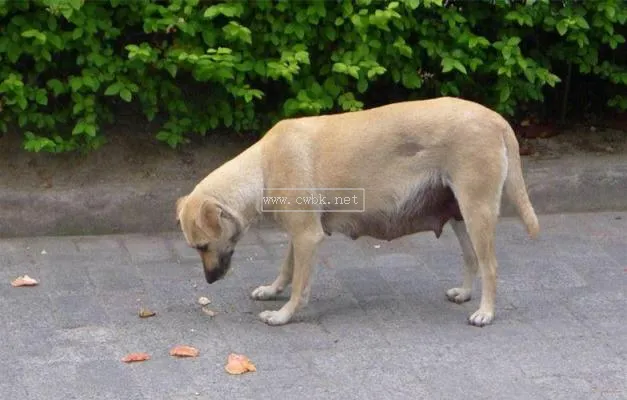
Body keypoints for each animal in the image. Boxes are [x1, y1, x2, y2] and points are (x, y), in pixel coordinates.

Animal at [177, 97, 540, 328]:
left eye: (202, 246)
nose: (209, 281)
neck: (262, 168)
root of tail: (497, 119)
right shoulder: (299, 236)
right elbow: (287, 268)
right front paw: (272, 290)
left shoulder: (307, 237)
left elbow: (299, 285)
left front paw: (284, 314)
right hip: (459, 215)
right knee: (472, 258)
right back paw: (465, 294)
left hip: (477, 210)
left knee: (490, 265)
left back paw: (486, 312)